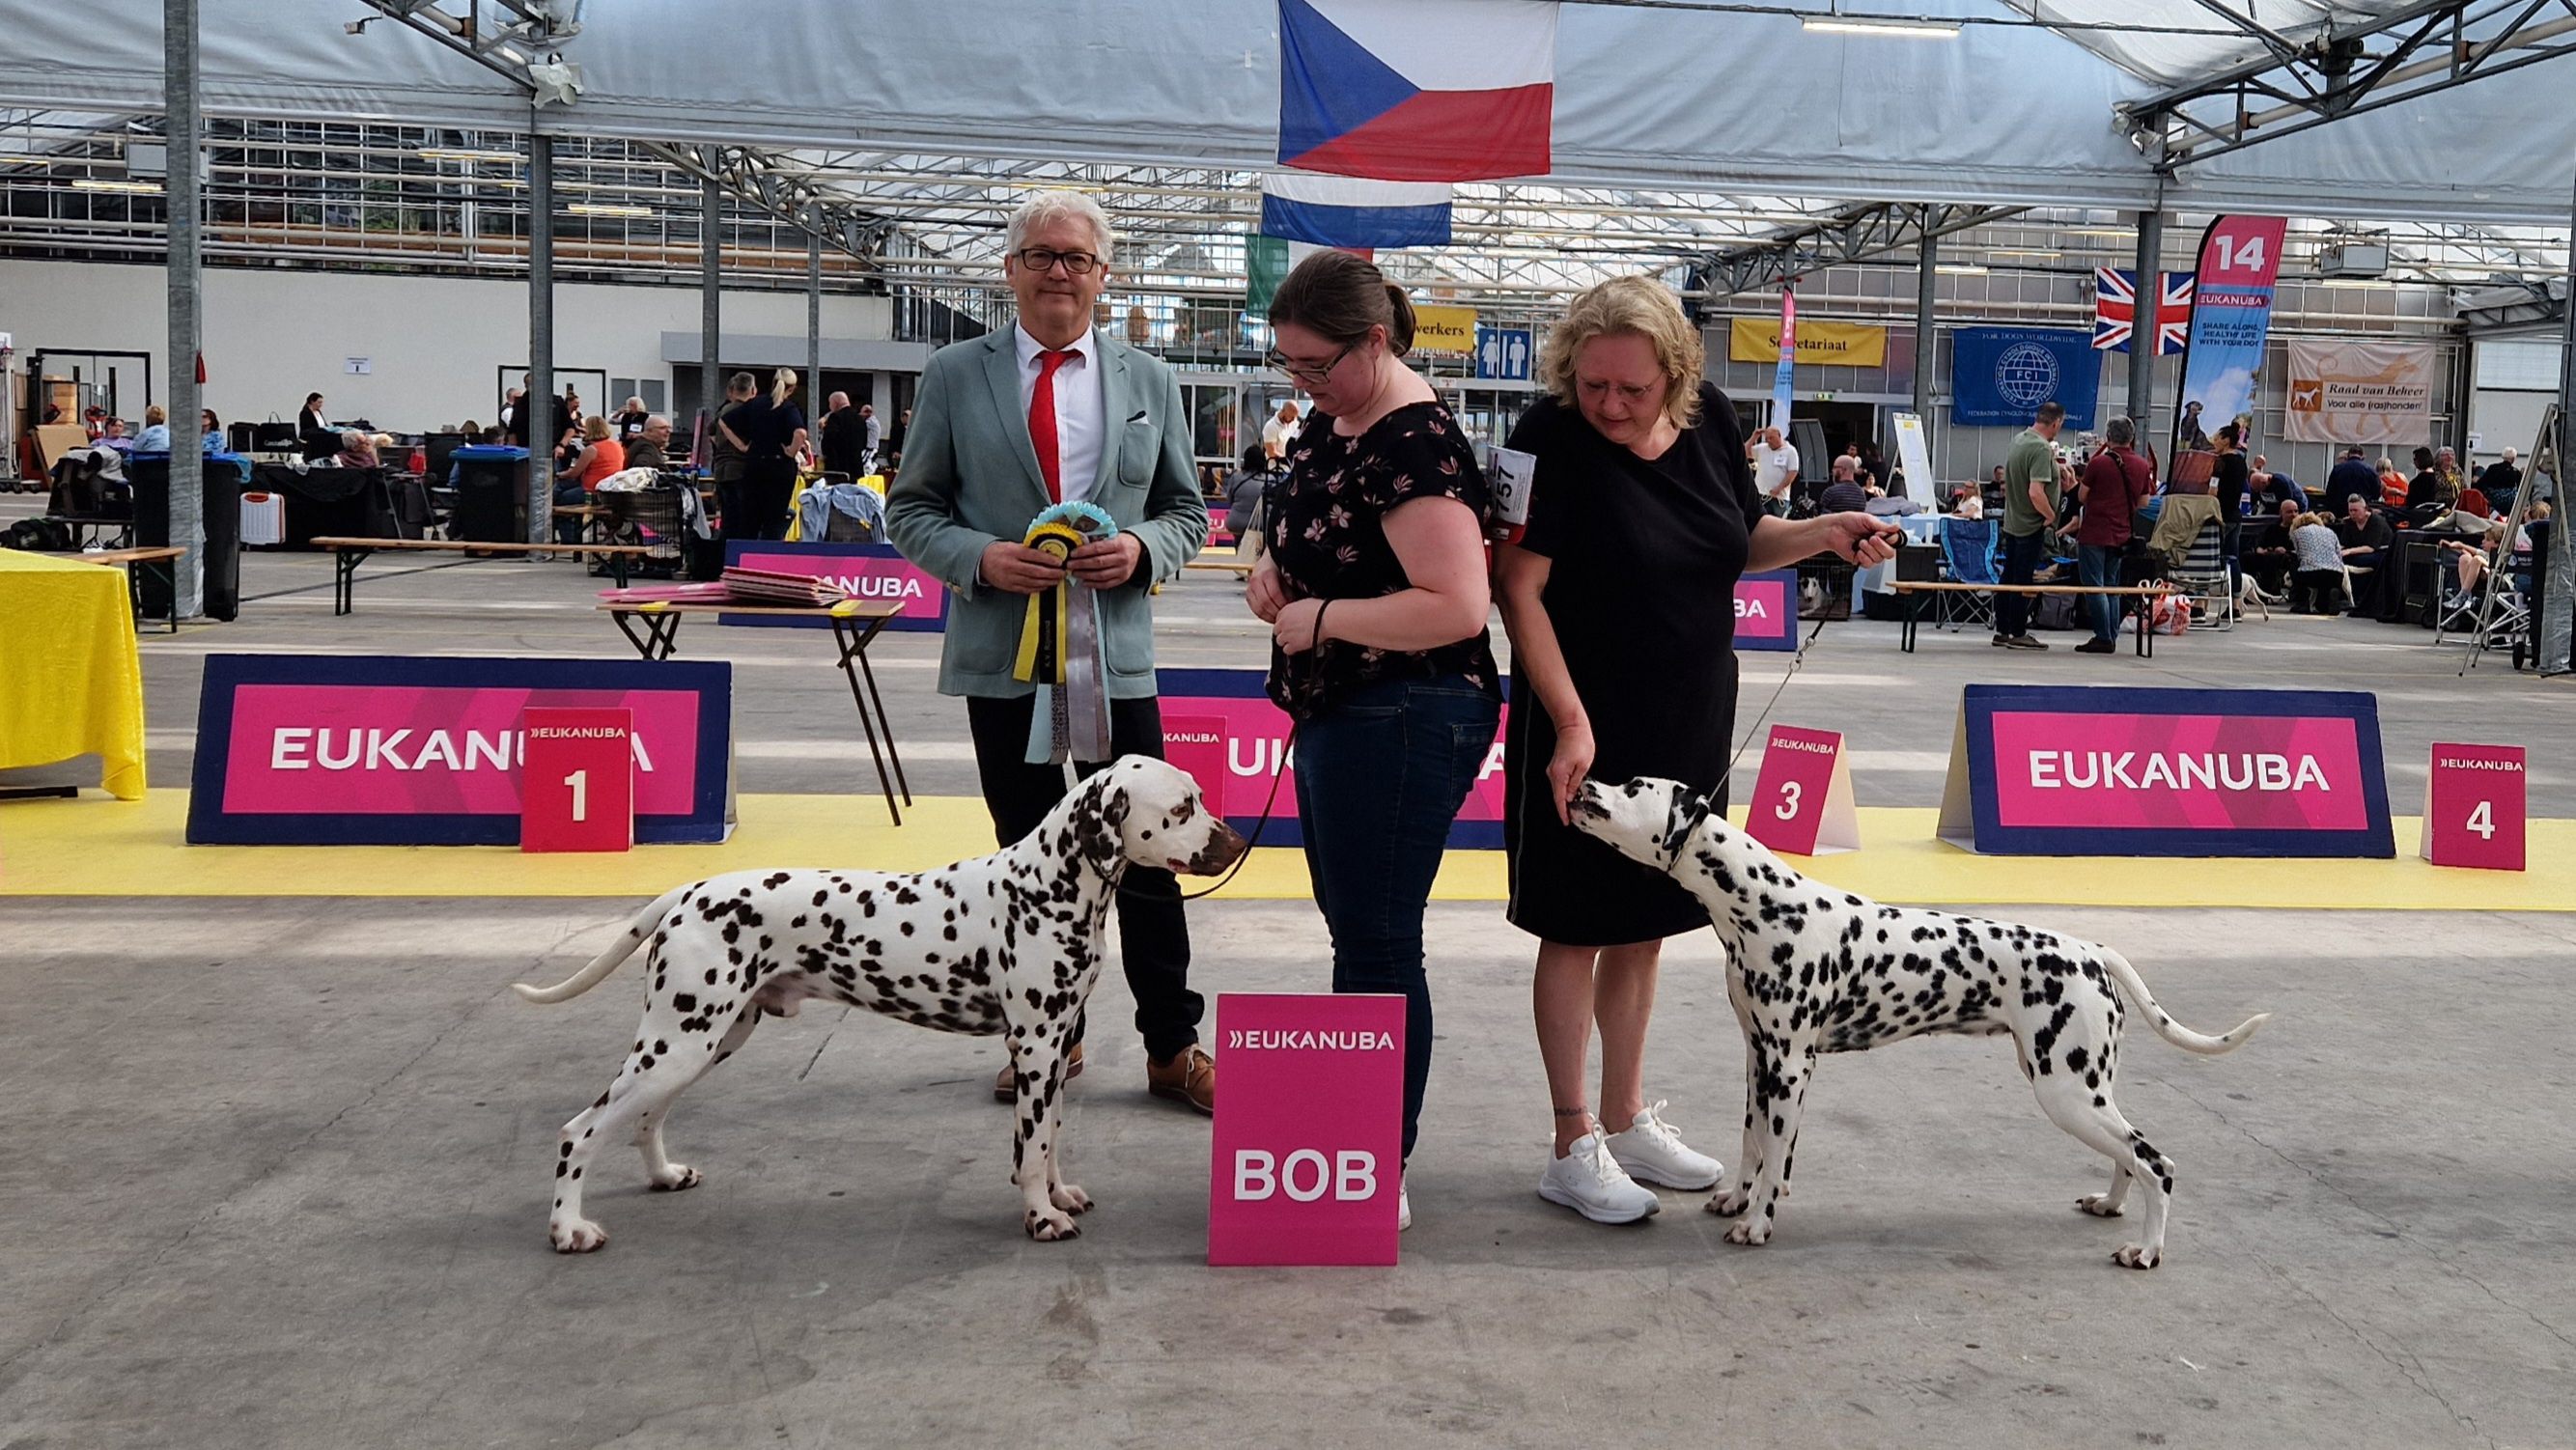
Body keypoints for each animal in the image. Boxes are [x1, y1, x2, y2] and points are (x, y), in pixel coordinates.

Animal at [515, 757, 1246, 1251]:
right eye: (1183, 807)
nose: (1238, 844)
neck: (1045, 886)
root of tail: (687, 893)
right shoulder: (1036, 1047)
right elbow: (1033, 1146)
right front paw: (1042, 1217)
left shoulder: (1057, 1046)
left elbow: (1052, 1137)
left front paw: (1060, 1194)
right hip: (678, 1040)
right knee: (580, 1130)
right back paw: (569, 1228)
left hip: (704, 1041)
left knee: (645, 1117)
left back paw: (665, 1176)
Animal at [1566, 772, 2277, 1271]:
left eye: (1635, 786)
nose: (1583, 783)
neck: (1760, 904)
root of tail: (2090, 950)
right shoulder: (1758, 1056)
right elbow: (1752, 1145)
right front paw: (1737, 1200)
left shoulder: (1790, 1066)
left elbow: (1775, 1157)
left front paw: (1757, 1223)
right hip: (2084, 1089)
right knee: (2130, 1156)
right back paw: (2109, 1206)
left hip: (2067, 1091)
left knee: (2157, 1161)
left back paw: (2146, 1250)